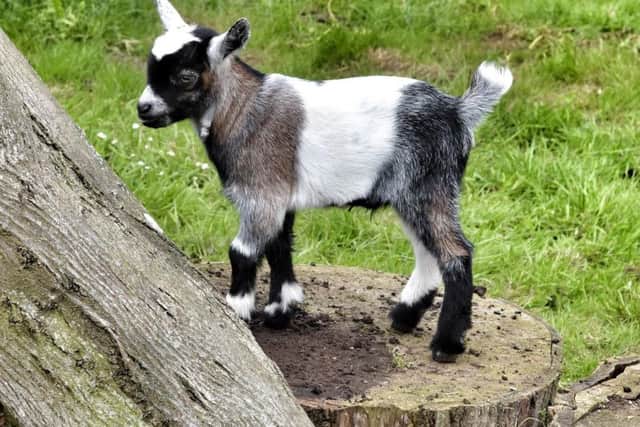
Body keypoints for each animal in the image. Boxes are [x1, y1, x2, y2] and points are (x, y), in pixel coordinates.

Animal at [138, 0, 512, 362]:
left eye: (186, 76)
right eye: (150, 68)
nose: (143, 108)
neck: (243, 110)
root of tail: (459, 111)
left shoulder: (262, 192)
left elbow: (242, 251)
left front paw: (237, 310)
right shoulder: (281, 196)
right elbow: (279, 246)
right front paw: (281, 310)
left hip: (428, 184)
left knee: (455, 252)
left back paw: (446, 344)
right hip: (413, 191)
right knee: (426, 251)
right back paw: (404, 317)